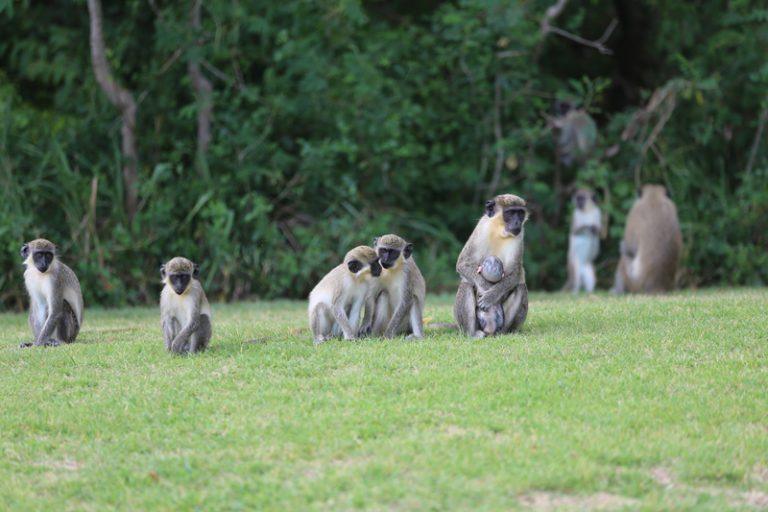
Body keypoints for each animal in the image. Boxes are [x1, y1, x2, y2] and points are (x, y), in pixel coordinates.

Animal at [454, 194, 529, 338]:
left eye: (520, 213)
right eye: (511, 213)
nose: (517, 222)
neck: (500, 230)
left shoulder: (520, 234)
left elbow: (516, 272)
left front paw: (492, 295)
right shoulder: (482, 227)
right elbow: (463, 262)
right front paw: (486, 288)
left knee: (520, 287)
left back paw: (503, 333)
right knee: (466, 284)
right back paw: (472, 334)